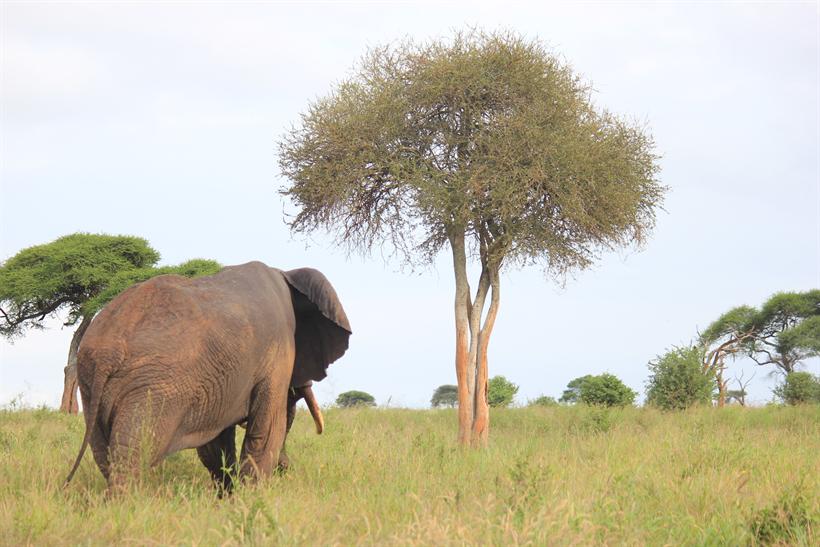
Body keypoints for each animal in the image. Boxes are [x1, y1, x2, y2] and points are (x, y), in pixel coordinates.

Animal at [63, 261, 351, 494]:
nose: (285, 469)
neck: (285, 273)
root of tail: (106, 353)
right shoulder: (277, 353)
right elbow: (268, 427)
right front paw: (250, 500)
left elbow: (217, 443)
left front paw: (228, 498)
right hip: (153, 387)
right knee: (134, 452)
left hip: (90, 383)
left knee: (104, 452)